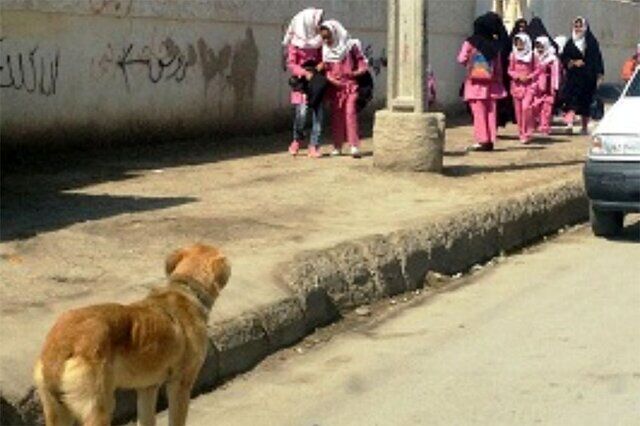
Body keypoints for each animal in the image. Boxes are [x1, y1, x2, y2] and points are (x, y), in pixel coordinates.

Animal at [32, 245, 231, 426]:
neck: (186, 288)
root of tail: (62, 341)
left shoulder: (147, 388)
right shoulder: (180, 385)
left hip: (55, 409)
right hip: (99, 407)